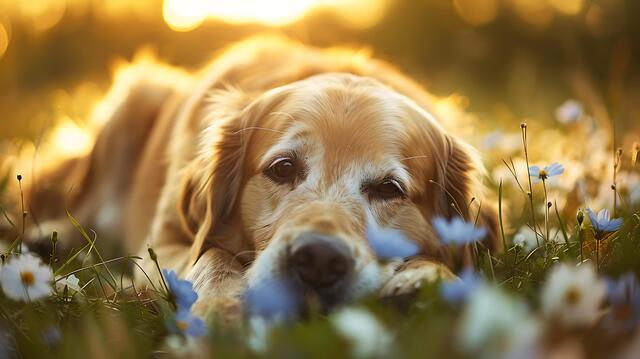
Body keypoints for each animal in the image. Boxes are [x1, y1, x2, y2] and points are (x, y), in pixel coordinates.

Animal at [12, 35, 498, 320]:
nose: (319, 260)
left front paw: (425, 278)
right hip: (136, 98)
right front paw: (223, 304)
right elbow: (211, 258)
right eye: (282, 168)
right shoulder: (164, 243)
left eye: (389, 189)